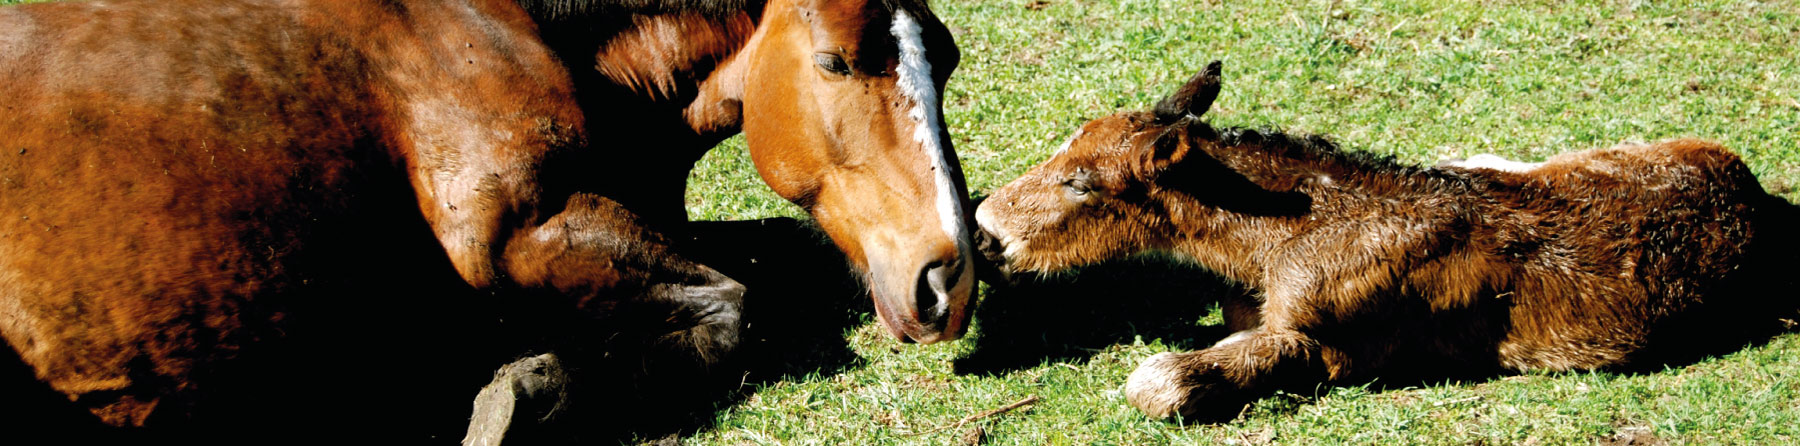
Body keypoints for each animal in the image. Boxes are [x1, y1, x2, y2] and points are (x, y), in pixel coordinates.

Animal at [0, 0, 979, 440]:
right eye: (835, 60)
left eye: (948, 54)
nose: (951, 277)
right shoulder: (520, 234)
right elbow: (732, 308)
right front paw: (514, 393)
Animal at [979, 62, 1800, 420]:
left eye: (1083, 184)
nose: (986, 231)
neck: (1262, 247)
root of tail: (1756, 195)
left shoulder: (1337, 347)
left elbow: (1159, 383)